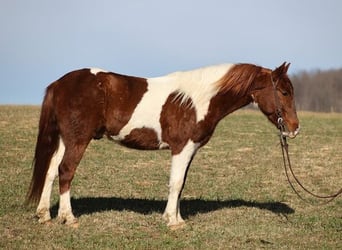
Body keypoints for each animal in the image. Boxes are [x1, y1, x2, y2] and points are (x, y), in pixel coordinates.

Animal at [26, 61, 300, 228]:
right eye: (284, 92)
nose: (295, 128)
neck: (197, 100)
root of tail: (59, 84)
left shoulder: (189, 150)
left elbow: (181, 184)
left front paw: (177, 218)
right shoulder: (182, 148)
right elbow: (176, 183)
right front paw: (172, 221)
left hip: (64, 139)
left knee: (50, 171)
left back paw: (44, 215)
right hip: (78, 140)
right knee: (65, 171)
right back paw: (68, 217)